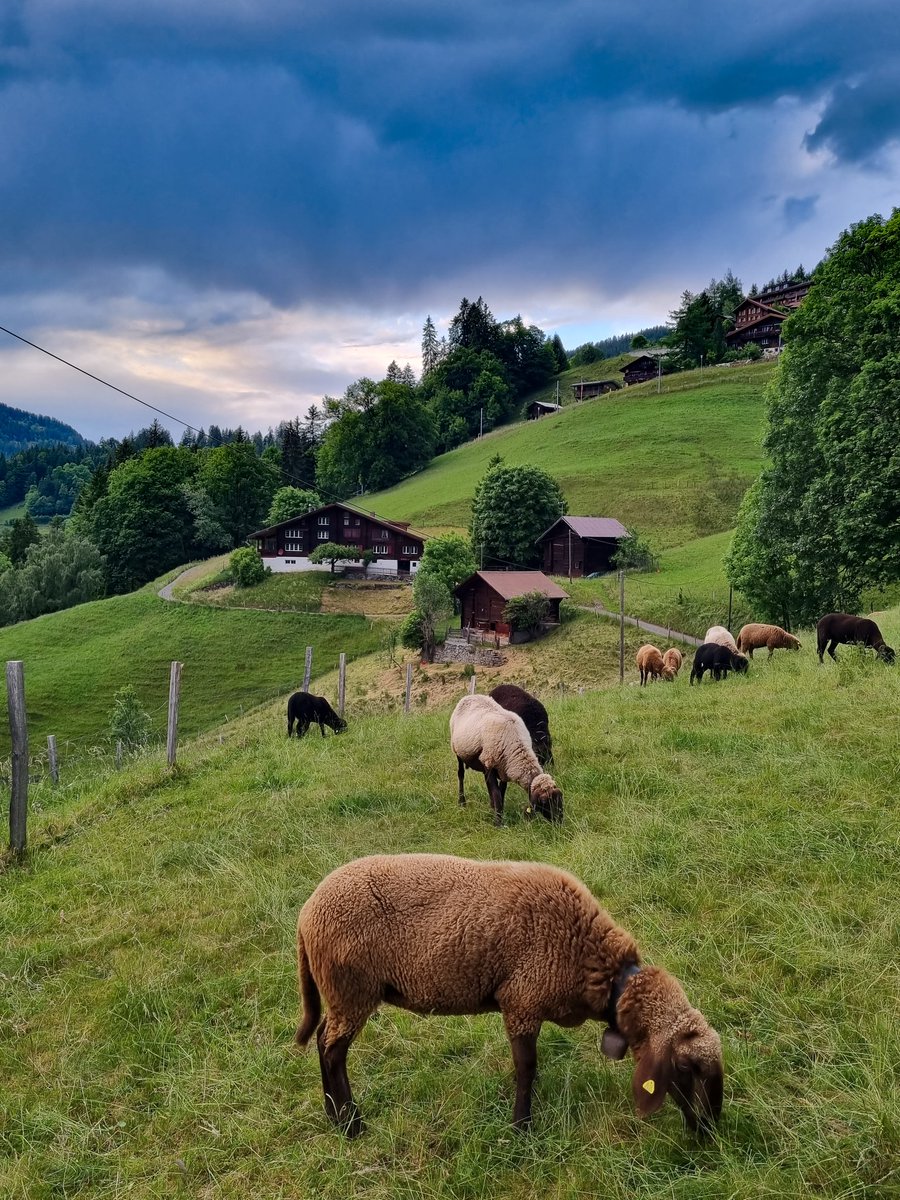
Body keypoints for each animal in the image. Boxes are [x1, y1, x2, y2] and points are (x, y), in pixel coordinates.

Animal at [296, 854, 724, 1132]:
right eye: (686, 1068)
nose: (710, 1130)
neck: (599, 971)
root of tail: (306, 914)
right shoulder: (522, 1002)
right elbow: (527, 1068)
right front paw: (522, 1126)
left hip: (340, 993)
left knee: (322, 1039)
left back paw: (333, 1114)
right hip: (351, 989)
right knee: (332, 1051)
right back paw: (351, 1123)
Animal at [451, 696, 564, 825]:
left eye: (560, 798)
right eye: (544, 801)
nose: (559, 822)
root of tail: (469, 696)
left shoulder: (504, 767)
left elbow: (501, 792)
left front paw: (498, 813)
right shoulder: (491, 765)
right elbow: (497, 794)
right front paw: (498, 823)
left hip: (483, 761)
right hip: (459, 752)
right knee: (461, 775)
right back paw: (462, 802)